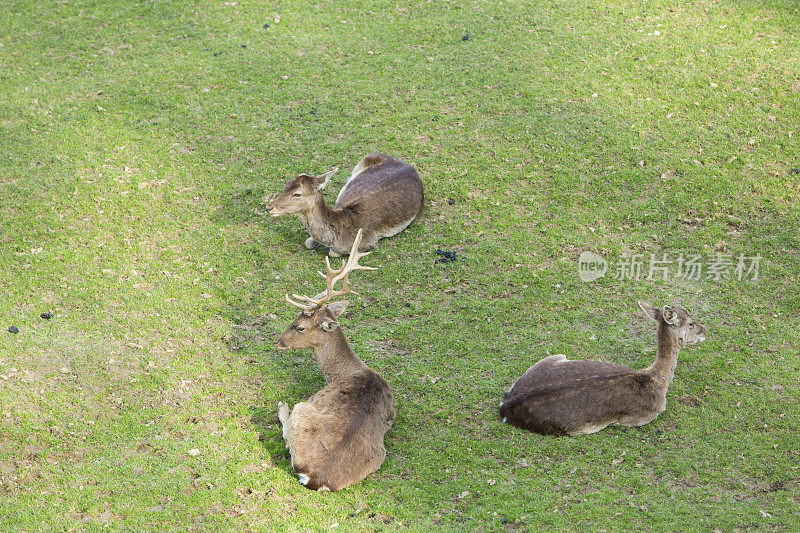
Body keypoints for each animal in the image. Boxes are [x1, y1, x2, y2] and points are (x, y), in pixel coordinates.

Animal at [266, 152, 424, 256]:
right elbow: (307, 242)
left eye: (297, 194)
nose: (269, 207)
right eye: (286, 185)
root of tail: (410, 166)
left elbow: (332, 253)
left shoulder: (368, 241)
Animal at [276, 229, 398, 490]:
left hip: (303, 408)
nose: (278, 341)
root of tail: (315, 477)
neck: (348, 370)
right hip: (379, 456)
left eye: (299, 327)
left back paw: (282, 406)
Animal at [500, 304, 708, 436]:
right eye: (691, 323)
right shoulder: (642, 416)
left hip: (553, 358)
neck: (657, 380)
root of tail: (505, 406)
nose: (705, 331)